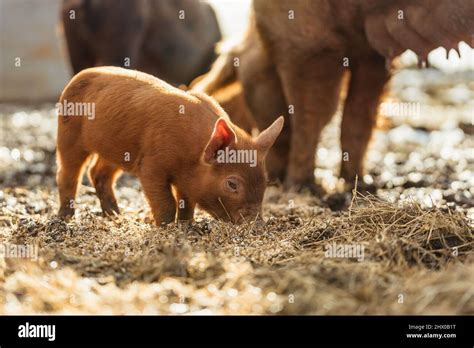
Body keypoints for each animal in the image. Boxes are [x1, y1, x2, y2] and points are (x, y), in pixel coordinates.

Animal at [57, 66, 284, 224]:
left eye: (264, 182)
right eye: (232, 184)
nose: (258, 225)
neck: (192, 153)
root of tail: (78, 76)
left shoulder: (186, 179)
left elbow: (186, 201)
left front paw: (186, 224)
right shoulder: (151, 165)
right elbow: (166, 201)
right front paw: (165, 226)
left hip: (113, 149)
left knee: (98, 172)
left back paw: (114, 215)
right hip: (68, 132)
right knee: (68, 173)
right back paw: (66, 217)